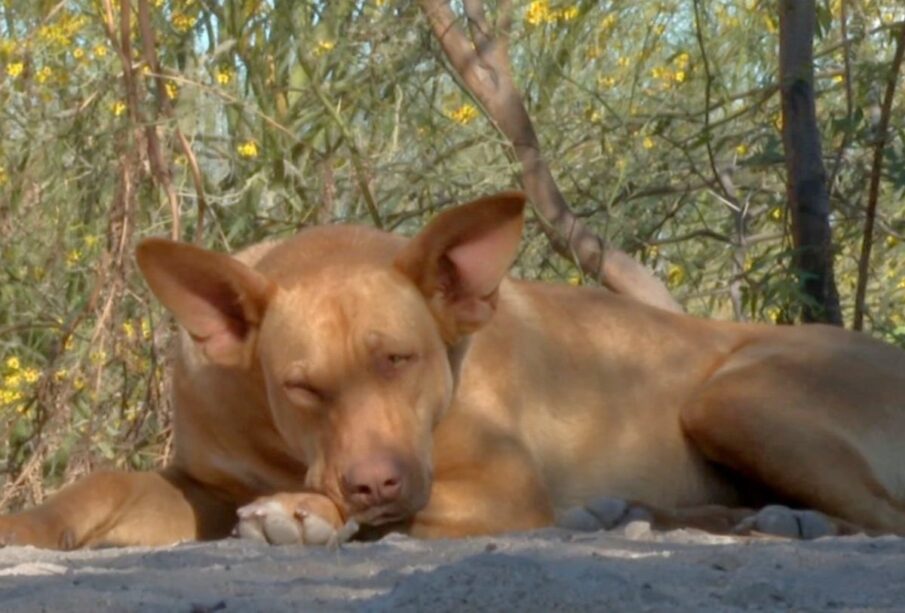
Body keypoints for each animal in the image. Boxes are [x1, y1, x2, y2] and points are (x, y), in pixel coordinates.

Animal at [1, 190, 904, 544]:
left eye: (399, 358)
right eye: (300, 385)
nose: (371, 480)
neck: (273, 441)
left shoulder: (502, 486)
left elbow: (387, 511)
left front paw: (310, 511)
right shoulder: (200, 481)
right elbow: (102, 485)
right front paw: (29, 525)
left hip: (733, 394)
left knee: (882, 515)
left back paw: (789, 521)